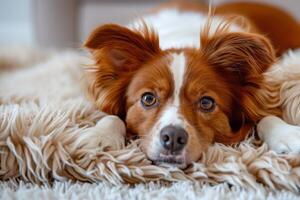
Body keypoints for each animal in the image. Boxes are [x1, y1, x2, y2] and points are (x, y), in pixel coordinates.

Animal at [83, 1, 300, 169]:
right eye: (148, 98)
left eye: (206, 102)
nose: (173, 137)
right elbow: (112, 117)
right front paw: (98, 136)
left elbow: (265, 117)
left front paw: (288, 134)